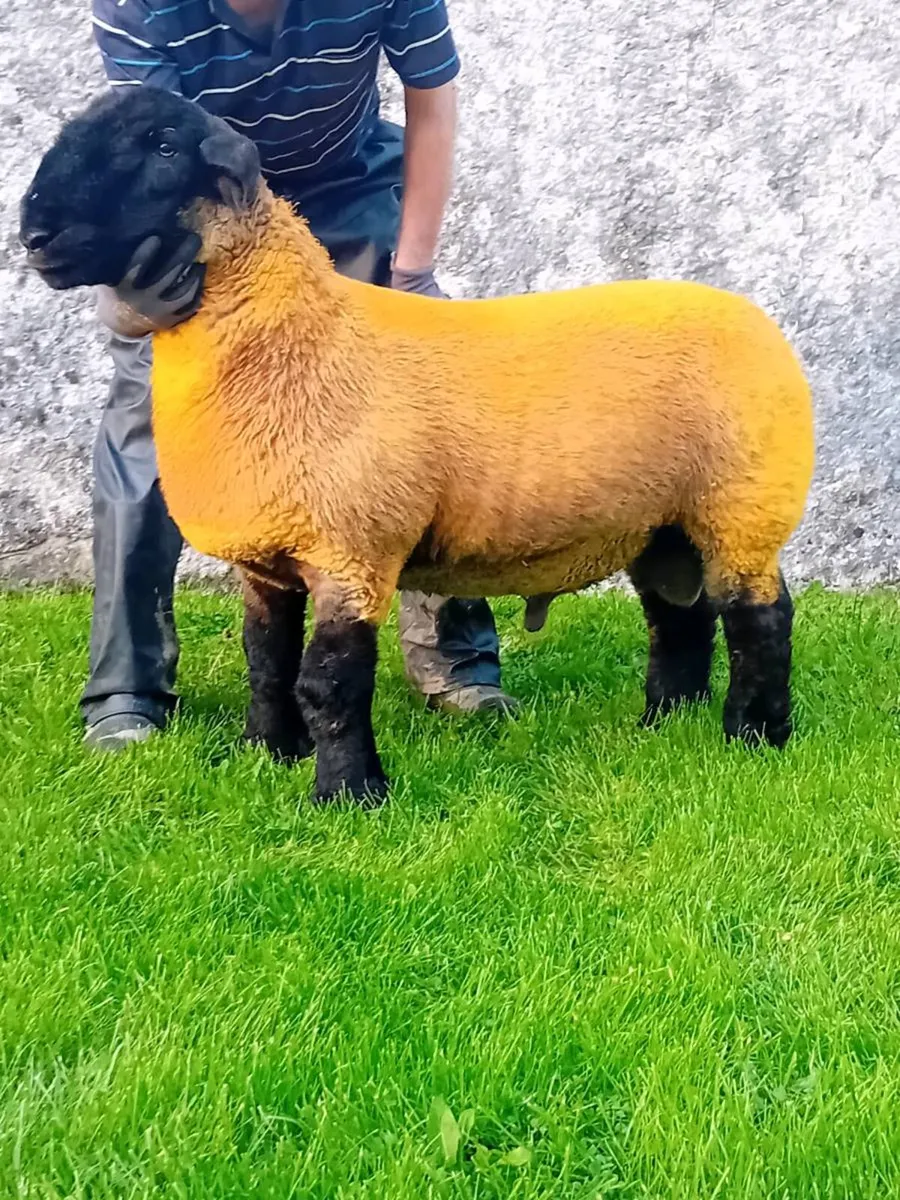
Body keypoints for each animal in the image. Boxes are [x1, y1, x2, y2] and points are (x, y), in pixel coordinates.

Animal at [19, 86, 815, 807]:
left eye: (161, 147)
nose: (35, 235)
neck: (297, 341)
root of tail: (759, 320)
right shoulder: (269, 559)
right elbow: (265, 659)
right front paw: (269, 753)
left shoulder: (352, 550)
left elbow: (327, 681)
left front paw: (349, 795)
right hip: (664, 523)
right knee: (680, 618)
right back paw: (664, 726)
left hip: (742, 506)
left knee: (761, 618)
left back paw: (754, 736)